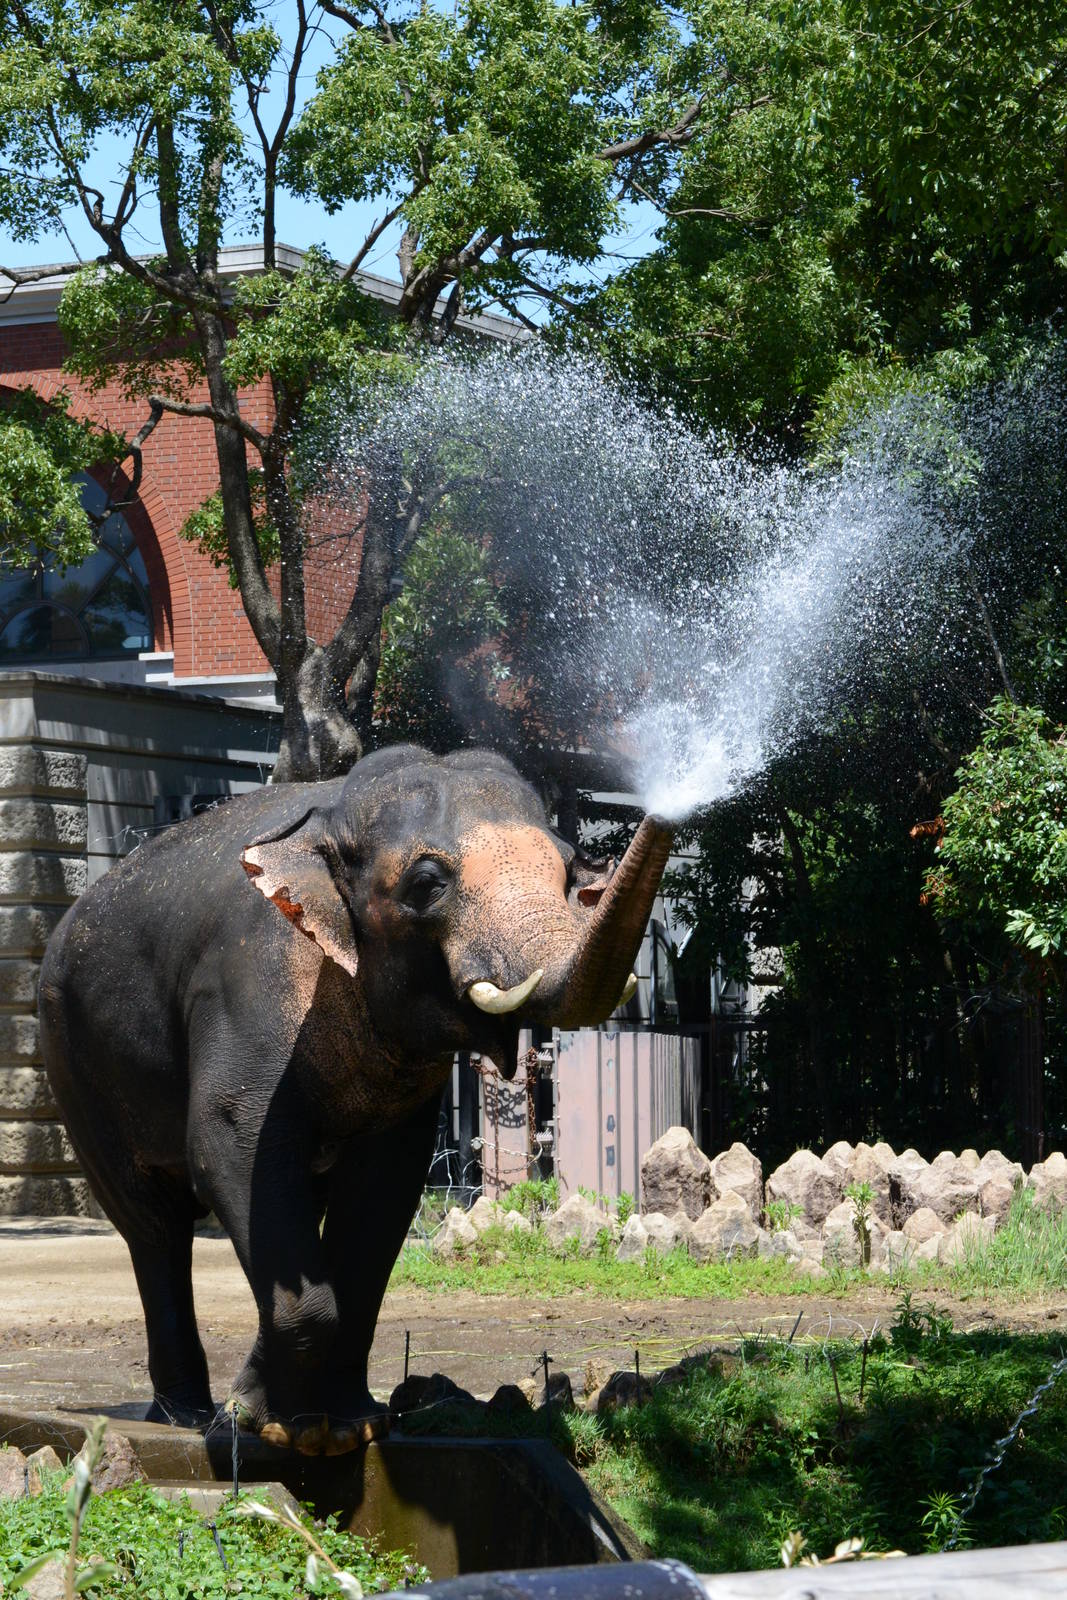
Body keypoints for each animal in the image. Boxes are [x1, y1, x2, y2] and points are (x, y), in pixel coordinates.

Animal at [38, 744, 672, 1454]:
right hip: (72, 1058)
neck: (333, 817)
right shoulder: (248, 984)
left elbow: (382, 1190)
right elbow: (228, 1144)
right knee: (153, 1224)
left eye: (567, 873)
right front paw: (266, 1425)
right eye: (427, 884)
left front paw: (344, 1427)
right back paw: (186, 1417)